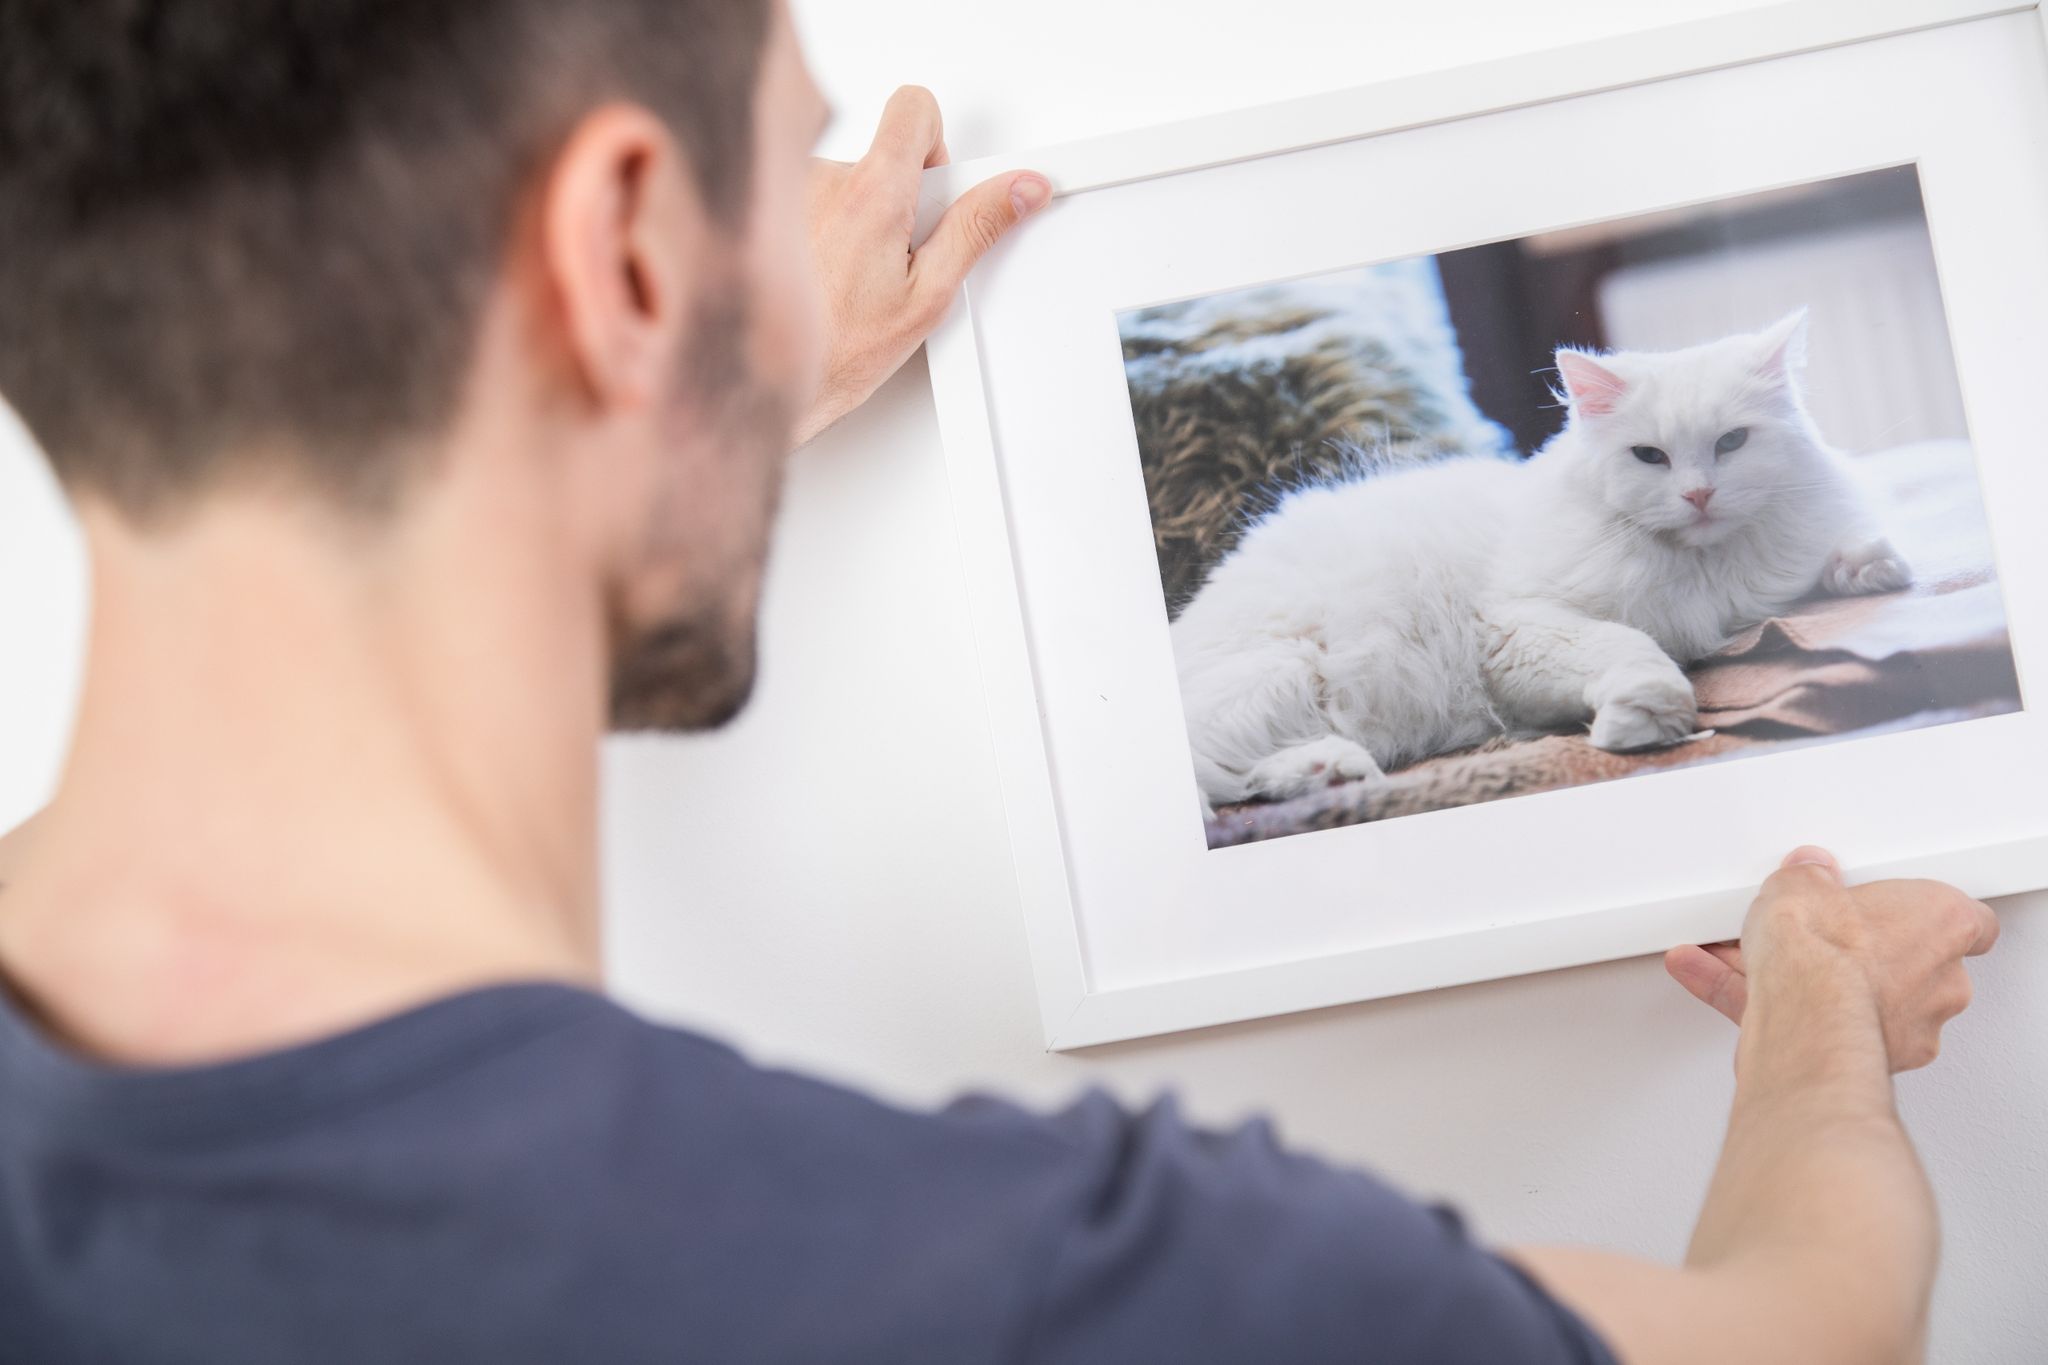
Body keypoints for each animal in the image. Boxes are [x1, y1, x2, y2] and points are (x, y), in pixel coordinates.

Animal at [1179, 313, 1908, 810]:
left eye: (1731, 444)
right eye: (1650, 457)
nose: (1699, 495)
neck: (1697, 567)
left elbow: (1842, 559)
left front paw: (1877, 568)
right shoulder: (1519, 629)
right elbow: (1641, 656)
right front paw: (1639, 724)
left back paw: (1331, 774)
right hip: (1284, 674)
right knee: (1215, 778)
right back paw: (1329, 771)